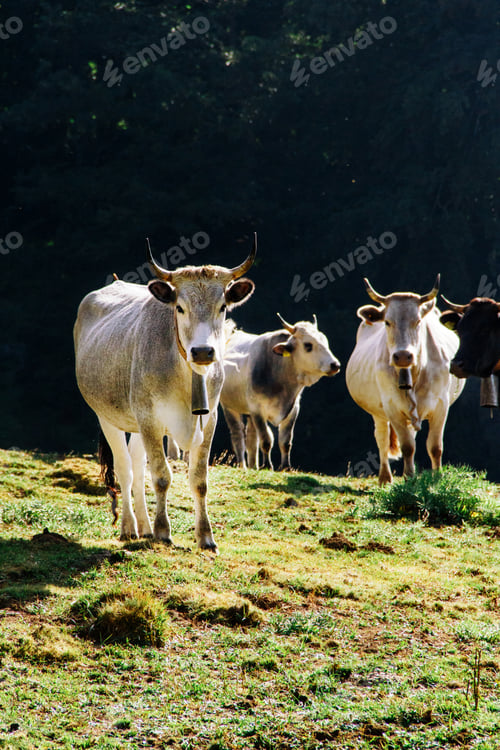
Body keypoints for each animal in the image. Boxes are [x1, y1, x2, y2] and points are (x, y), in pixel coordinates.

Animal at [74, 236, 257, 550]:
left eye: (222, 307)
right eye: (179, 308)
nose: (203, 351)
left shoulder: (209, 419)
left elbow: (199, 479)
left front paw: (205, 536)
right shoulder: (149, 416)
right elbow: (160, 475)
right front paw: (163, 531)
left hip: (137, 423)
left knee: (137, 467)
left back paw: (144, 526)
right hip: (108, 415)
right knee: (125, 468)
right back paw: (130, 527)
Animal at [220, 313, 341, 470]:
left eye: (325, 342)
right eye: (308, 345)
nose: (335, 365)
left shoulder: (293, 409)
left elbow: (285, 441)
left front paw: (285, 467)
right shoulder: (258, 410)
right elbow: (266, 440)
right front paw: (267, 465)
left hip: (249, 414)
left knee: (252, 439)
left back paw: (253, 466)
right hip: (229, 408)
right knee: (238, 436)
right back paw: (243, 466)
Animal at [345, 276, 464, 484]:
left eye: (417, 321)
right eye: (387, 322)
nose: (402, 356)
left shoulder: (441, 405)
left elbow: (435, 447)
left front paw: (437, 477)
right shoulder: (392, 406)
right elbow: (407, 446)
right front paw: (409, 478)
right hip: (378, 412)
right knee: (382, 439)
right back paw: (385, 477)